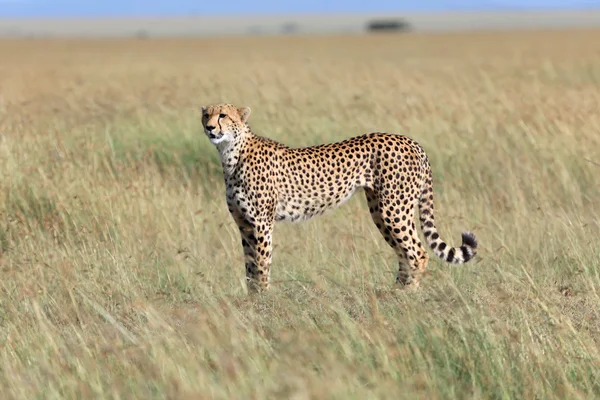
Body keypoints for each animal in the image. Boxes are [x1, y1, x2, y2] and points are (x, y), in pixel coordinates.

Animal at [202, 103, 478, 294]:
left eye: (223, 115)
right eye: (207, 115)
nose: (210, 127)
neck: (231, 153)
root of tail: (411, 141)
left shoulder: (261, 223)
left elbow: (261, 264)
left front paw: (263, 300)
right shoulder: (244, 224)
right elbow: (250, 266)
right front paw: (252, 299)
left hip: (393, 208)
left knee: (417, 252)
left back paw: (406, 295)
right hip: (381, 210)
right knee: (403, 252)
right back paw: (395, 292)